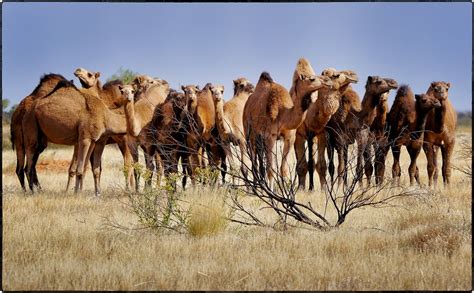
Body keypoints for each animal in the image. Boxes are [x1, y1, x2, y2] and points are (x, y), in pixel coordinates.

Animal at [22, 77, 170, 195]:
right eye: (122, 91)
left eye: (132, 91)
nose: (128, 98)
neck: (106, 116)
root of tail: (28, 108)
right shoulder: (85, 138)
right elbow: (80, 168)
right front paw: (77, 193)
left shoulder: (96, 140)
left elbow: (92, 169)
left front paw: (96, 193)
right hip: (30, 128)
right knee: (28, 165)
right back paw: (33, 192)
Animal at [244, 57, 334, 185]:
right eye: (312, 78)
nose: (328, 81)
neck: (283, 116)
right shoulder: (270, 137)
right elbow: (271, 169)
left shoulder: (290, 138)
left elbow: (283, 168)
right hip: (250, 134)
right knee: (253, 161)